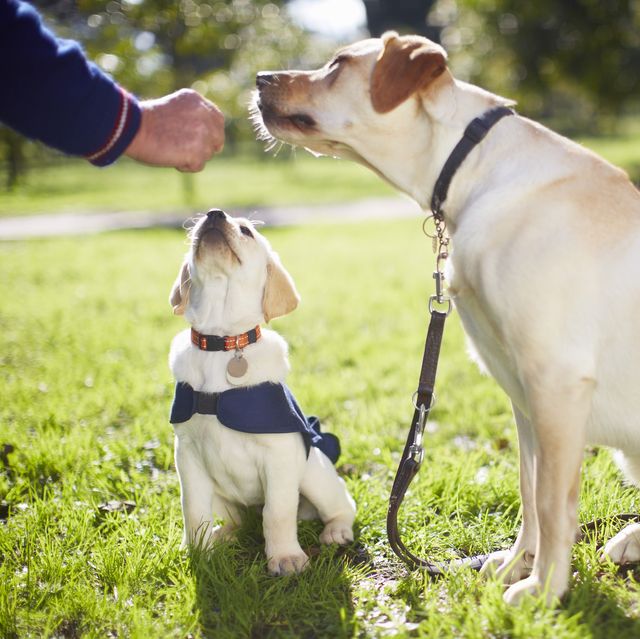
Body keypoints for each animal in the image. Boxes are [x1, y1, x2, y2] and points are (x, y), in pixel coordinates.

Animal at [169, 210, 356, 576]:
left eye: (246, 231)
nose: (213, 215)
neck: (222, 344)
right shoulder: (187, 454)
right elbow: (193, 510)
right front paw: (197, 553)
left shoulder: (280, 456)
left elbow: (277, 512)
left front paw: (285, 557)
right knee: (238, 520)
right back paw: (224, 534)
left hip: (313, 472)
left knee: (342, 503)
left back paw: (337, 530)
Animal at [251, 31, 640, 604]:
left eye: (338, 63)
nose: (258, 78)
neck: (473, 168)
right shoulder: (523, 396)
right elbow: (529, 489)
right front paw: (517, 564)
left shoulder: (555, 382)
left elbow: (553, 502)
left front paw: (544, 590)